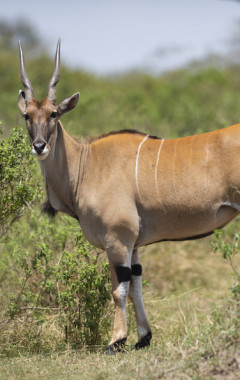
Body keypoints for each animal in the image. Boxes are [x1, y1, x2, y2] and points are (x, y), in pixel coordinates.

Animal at [17, 40, 240, 354]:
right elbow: (136, 286)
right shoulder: (133, 244)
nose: (39, 146)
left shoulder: (117, 239)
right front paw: (143, 338)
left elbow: (119, 289)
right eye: (27, 116)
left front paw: (116, 340)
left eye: (53, 114)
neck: (86, 163)